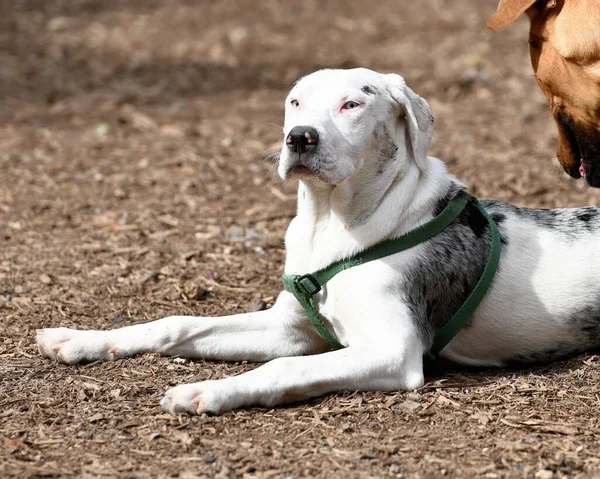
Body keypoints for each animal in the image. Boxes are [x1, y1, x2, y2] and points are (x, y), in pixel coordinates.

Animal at [36, 68, 600, 416]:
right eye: (295, 102)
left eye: (352, 104)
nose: (300, 137)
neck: (330, 223)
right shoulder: (290, 327)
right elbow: (178, 322)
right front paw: (79, 339)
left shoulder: (391, 351)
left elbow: (283, 367)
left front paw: (206, 391)